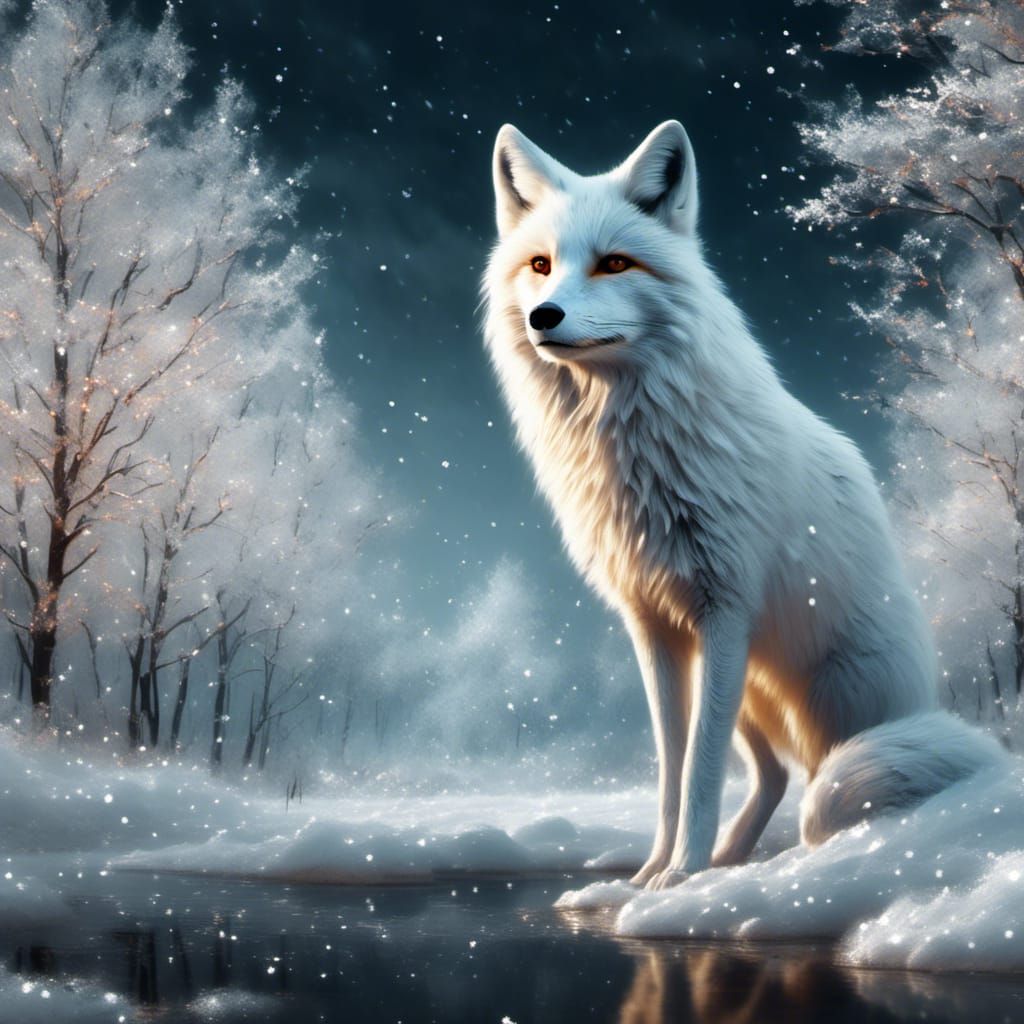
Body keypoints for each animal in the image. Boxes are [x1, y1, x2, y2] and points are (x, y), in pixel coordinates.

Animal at [482, 120, 1004, 890]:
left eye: (614, 264)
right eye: (541, 265)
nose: (545, 316)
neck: (637, 452)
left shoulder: (723, 611)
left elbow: (700, 772)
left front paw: (678, 878)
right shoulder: (655, 629)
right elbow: (672, 771)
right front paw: (653, 876)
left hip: (828, 706)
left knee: (824, 780)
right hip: (751, 694)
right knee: (774, 776)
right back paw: (732, 860)